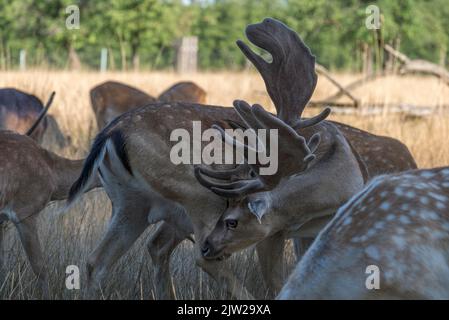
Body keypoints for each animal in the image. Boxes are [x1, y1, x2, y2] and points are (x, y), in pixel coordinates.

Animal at [68, 18, 414, 300]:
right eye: (232, 217)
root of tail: (111, 132)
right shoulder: (271, 231)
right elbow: (279, 281)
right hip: (195, 197)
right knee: (199, 257)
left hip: (130, 203)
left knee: (97, 262)